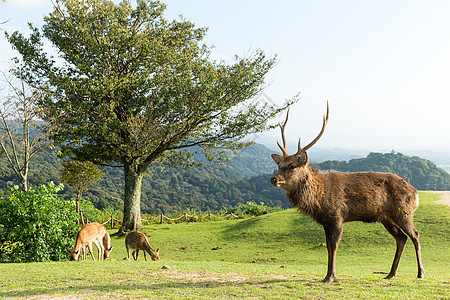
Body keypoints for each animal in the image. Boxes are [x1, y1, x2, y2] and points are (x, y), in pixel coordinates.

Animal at [270, 102, 426, 282]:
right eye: (279, 165)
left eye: (292, 166)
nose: (274, 179)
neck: (319, 198)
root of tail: (415, 193)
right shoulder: (326, 221)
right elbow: (328, 246)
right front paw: (326, 275)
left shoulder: (338, 215)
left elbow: (334, 245)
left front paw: (331, 276)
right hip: (386, 217)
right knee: (401, 237)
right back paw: (390, 273)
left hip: (403, 212)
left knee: (415, 234)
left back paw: (420, 273)